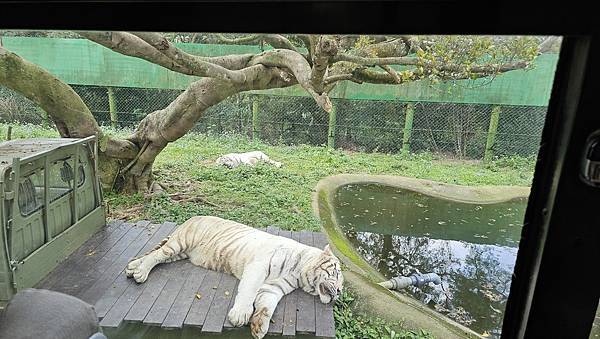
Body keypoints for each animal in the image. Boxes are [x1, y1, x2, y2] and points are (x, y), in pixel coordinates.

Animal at [125, 216, 342, 338]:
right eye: (336, 272)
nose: (339, 291)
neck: (300, 273)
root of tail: (192, 217)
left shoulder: (273, 288)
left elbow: (267, 306)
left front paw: (259, 326)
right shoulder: (258, 267)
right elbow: (248, 292)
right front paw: (240, 315)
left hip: (181, 252)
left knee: (158, 254)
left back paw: (132, 267)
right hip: (180, 243)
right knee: (157, 254)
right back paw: (140, 273)